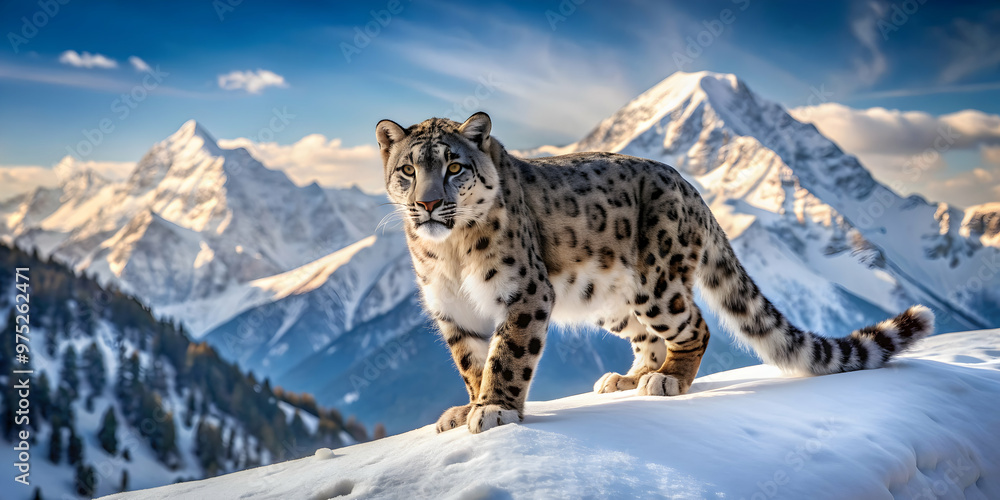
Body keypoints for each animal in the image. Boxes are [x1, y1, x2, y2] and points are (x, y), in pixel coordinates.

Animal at [375, 112, 935, 434]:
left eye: (454, 166)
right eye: (408, 169)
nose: (428, 203)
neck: (449, 254)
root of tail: (690, 187)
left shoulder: (525, 293)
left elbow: (507, 355)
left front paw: (495, 410)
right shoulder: (452, 311)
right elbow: (471, 362)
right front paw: (467, 408)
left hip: (658, 284)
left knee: (695, 326)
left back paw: (667, 380)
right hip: (611, 300)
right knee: (646, 336)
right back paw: (630, 377)